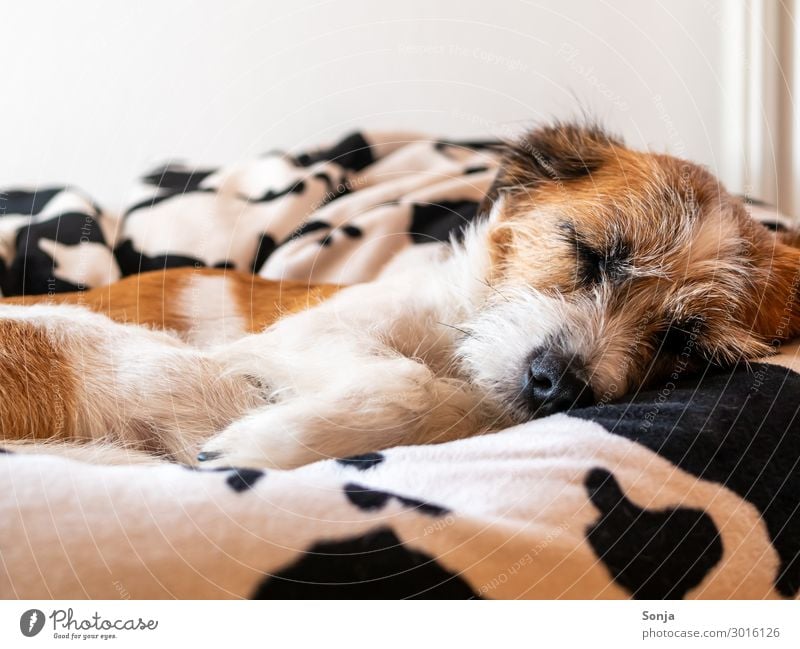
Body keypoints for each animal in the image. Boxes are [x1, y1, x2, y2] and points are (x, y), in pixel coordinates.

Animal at [1, 121, 800, 466]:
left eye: (683, 342)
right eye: (587, 250)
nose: (558, 384)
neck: (457, 343)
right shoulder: (302, 335)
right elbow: (407, 382)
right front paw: (264, 441)